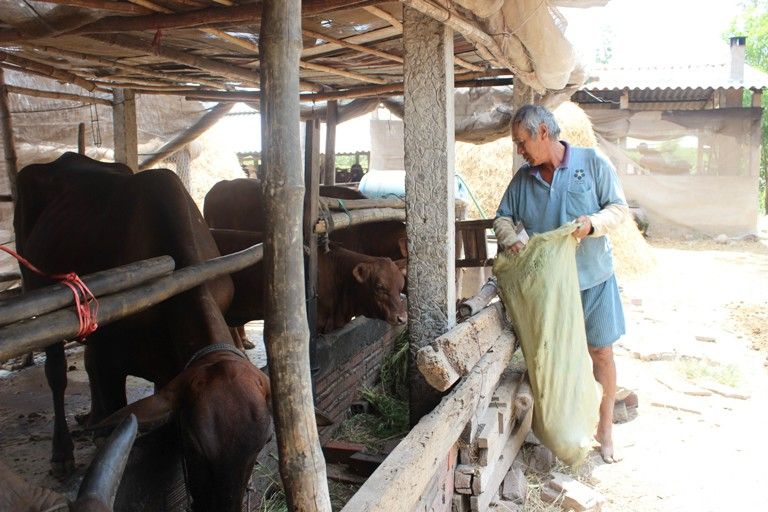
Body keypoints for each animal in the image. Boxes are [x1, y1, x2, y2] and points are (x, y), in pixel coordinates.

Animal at [12, 154, 272, 512]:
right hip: (37, 290)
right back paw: (62, 451)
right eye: (194, 444)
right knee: (57, 374)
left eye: (263, 444)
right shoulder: (109, 360)